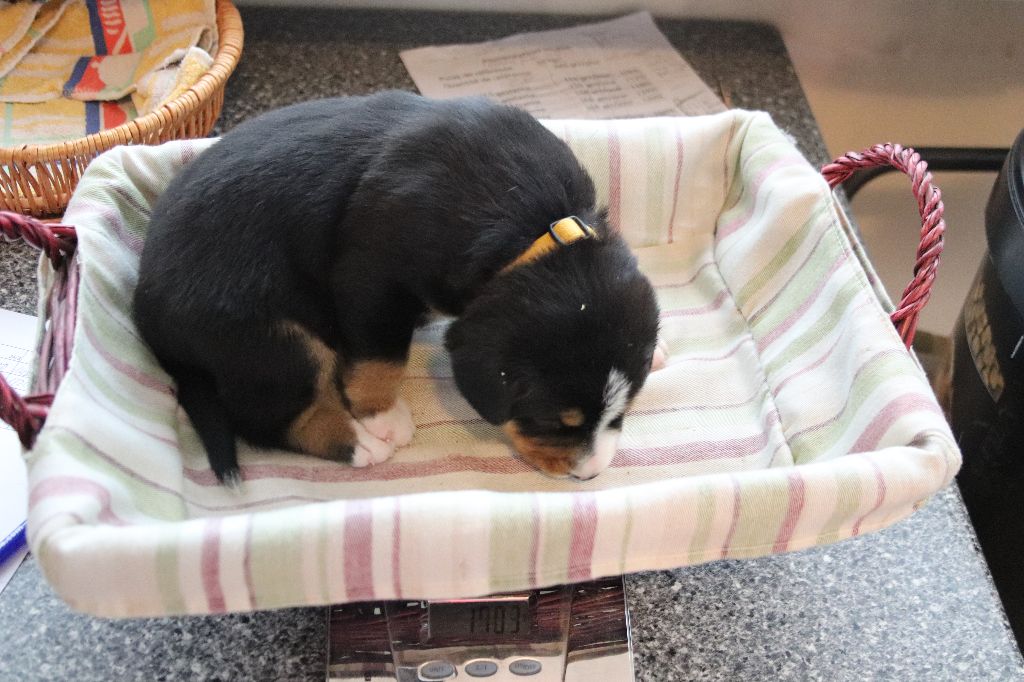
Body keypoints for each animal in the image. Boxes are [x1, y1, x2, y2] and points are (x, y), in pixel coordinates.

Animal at [133, 91, 660, 483]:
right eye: (554, 420)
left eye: (622, 412)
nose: (590, 474)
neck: (538, 223)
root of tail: (144, 307)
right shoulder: (372, 279)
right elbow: (380, 358)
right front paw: (381, 417)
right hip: (271, 341)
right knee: (266, 420)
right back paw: (358, 443)